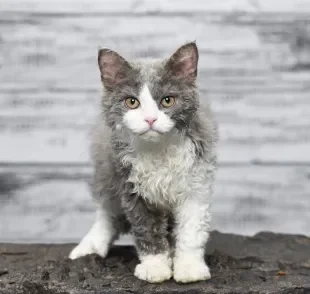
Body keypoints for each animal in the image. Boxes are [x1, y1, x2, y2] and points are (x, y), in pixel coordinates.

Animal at [69, 42, 218, 284]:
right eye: (132, 102)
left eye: (167, 100)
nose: (150, 119)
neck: (159, 150)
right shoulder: (132, 187)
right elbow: (147, 230)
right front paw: (155, 267)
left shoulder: (196, 183)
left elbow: (191, 230)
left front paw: (189, 267)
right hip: (106, 170)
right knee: (107, 212)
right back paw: (90, 246)